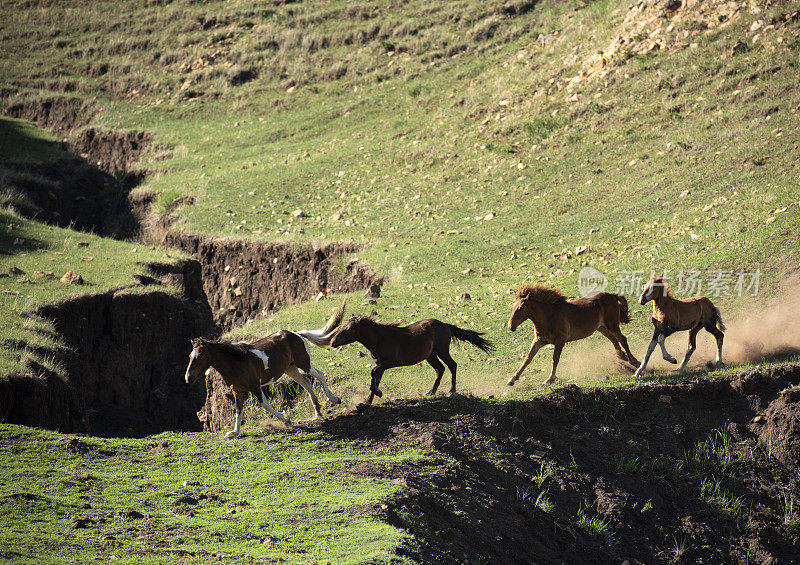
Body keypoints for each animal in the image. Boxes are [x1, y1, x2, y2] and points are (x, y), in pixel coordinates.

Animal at [186, 300, 346, 436]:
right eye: (189, 355)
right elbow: (238, 411)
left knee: (320, 375)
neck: (236, 363)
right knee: (306, 383)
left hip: (304, 363)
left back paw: (334, 399)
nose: (188, 377)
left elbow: (265, 405)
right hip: (291, 369)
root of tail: (296, 334)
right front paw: (234, 433)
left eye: (200, 355)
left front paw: (287, 421)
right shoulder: (237, 391)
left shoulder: (255, 386)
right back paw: (317, 412)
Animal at [326, 316, 490, 404]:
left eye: (348, 329)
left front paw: (378, 393)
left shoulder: (390, 362)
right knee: (440, 369)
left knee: (452, 365)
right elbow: (375, 377)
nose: (333, 342)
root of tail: (445, 325)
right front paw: (368, 400)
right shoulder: (380, 363)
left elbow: (373, 373)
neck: (380, 339)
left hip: (442, 350)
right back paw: (430, 392)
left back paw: (452, 391)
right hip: (431, 355)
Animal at [506, 284, 636, 386]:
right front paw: (512, 380)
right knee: (614, 340)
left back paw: (634, 362)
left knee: (622, 339)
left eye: (522, 307)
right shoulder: (539, 341)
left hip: (612, 325)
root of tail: (612, 295)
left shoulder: (560, 341)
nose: (511, 326)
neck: (549, 317)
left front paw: (549, 379)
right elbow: (528, 359)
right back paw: (622, 357)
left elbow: (555, 359)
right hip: (602, 328)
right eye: (513, 306)